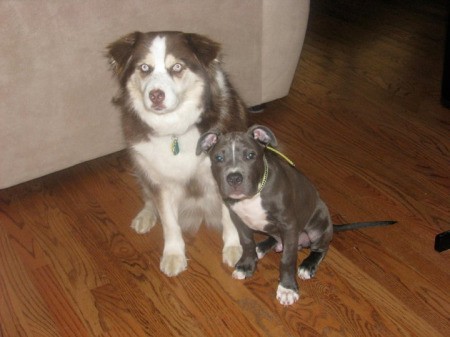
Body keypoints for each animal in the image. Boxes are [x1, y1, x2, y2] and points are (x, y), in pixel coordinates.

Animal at [107, 30, 248, 276]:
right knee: (148, 196)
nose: (156, 95)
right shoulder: (158, 179)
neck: (174, 129)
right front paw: (173, 255)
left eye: (177, 67)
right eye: (144, 68)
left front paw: (233, 247)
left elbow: (229, 216)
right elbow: (169, 222)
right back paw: (145, 215)